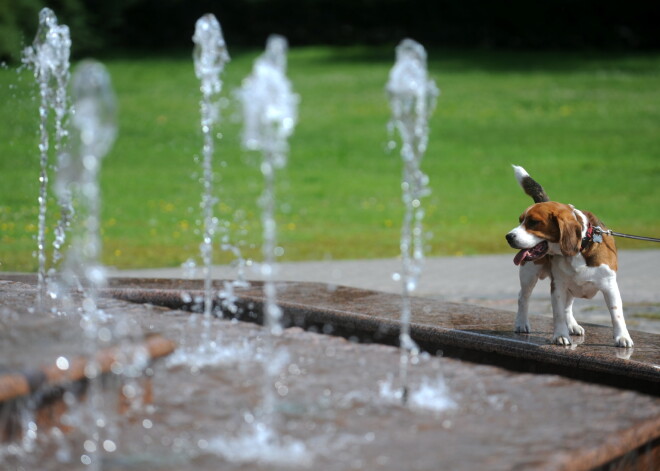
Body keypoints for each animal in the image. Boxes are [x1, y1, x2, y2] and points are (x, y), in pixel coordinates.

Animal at [508, 165, 632, 346]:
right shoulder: (557, 286)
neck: (580, 248)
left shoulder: (610, 286)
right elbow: (558, 313)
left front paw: (622, 337)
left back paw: (572, 325)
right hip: (529, 274)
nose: (508, 236)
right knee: (523, 297)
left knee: (567, 306)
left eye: (533, 222)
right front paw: (560, 335)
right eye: (520, 221)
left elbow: (616, 314)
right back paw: (522, 323)